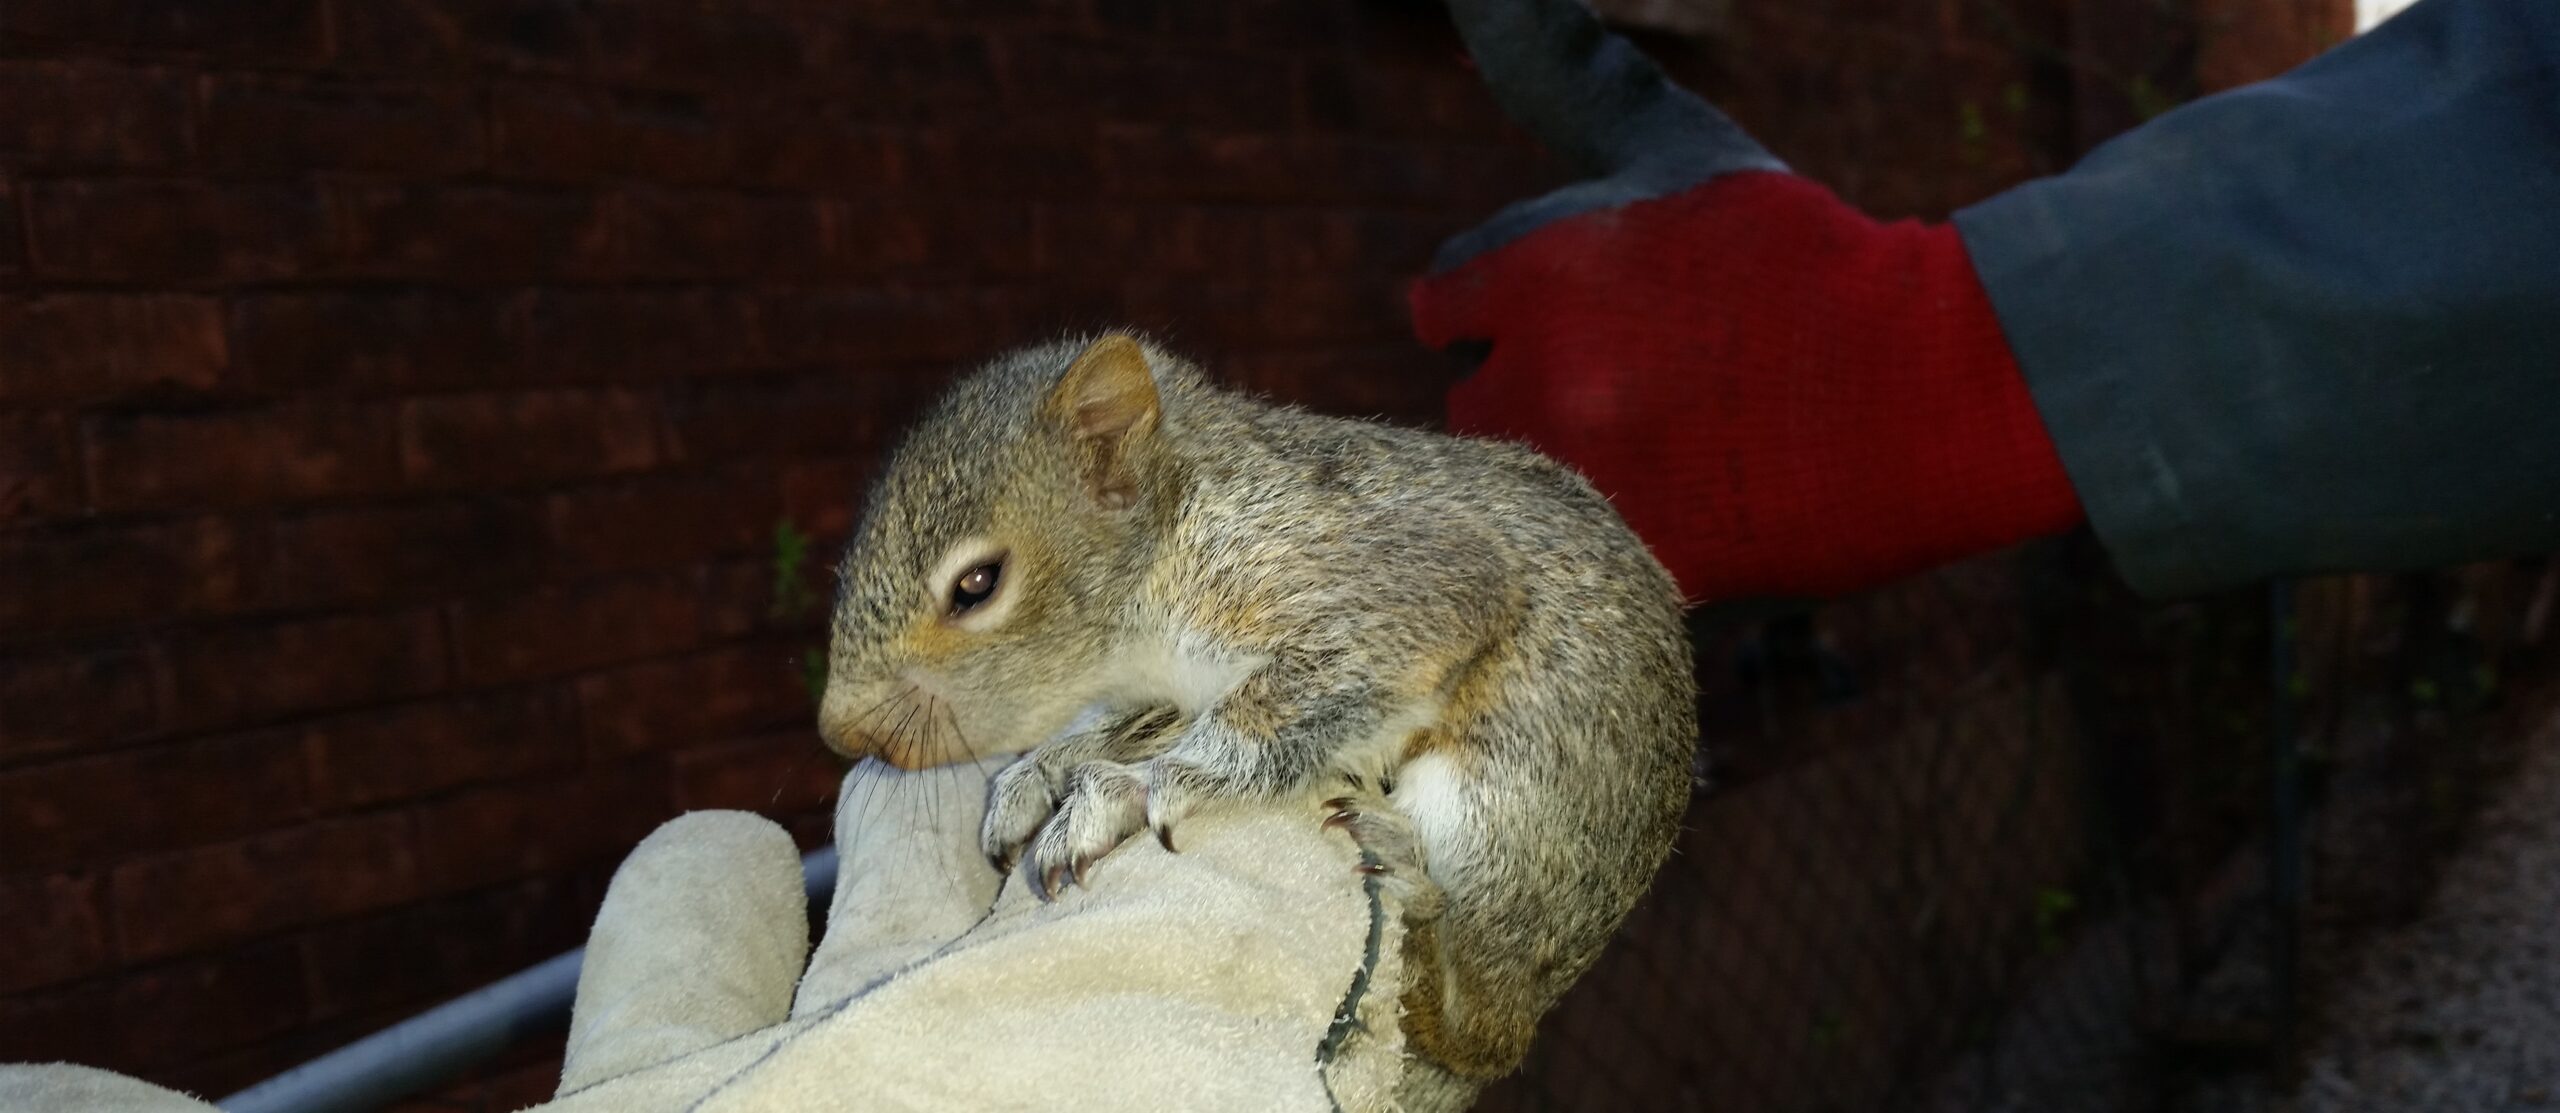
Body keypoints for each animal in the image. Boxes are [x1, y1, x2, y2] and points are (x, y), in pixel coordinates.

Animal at [816, 332, 1696, 1109]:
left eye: (977, 583)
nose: (840, 730)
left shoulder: (1383, 575)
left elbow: (1277, 705)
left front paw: (1140, 786)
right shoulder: (1161, 685)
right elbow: (1127, 722)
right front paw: (1044, 768)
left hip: (1510, 802)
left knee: (1482, 1027)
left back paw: (1410, 889)